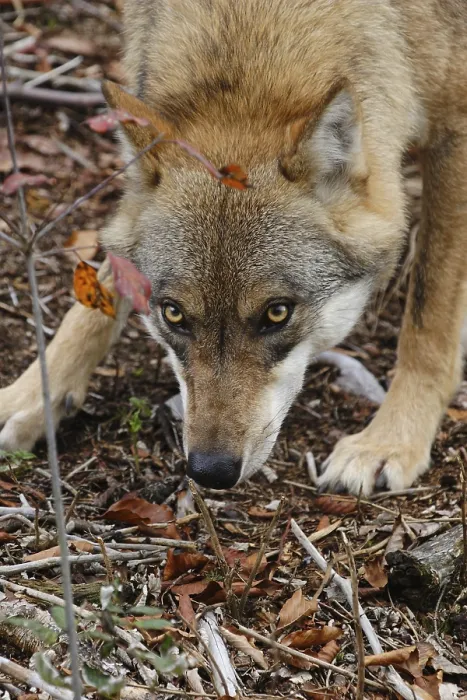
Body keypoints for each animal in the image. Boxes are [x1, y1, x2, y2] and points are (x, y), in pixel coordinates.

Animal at [1, 0, 467, 495]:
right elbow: (101, 289)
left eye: (277, 313)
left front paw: (391, 440)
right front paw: (30, 398)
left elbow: (428, 320)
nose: (210, 470)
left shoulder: (454, 130)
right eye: (173, 314)